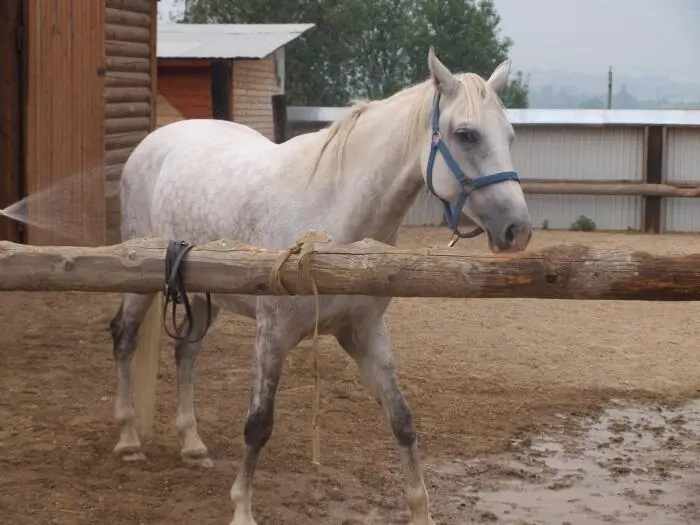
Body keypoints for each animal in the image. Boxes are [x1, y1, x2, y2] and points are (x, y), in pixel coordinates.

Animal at [112, 49, 532, 524]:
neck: (332, 221)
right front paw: (242, 509)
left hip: (201, 297)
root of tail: (152, 143)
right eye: (465, 134)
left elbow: (402, 420)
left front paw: (420, 510)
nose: (517, 230)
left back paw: (193, 446)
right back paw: (129, 440)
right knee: (124, 339)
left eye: (509, 135)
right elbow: (258, 426)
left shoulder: (364, 334)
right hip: (141, 283)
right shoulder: (272, 335)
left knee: (186, 353)